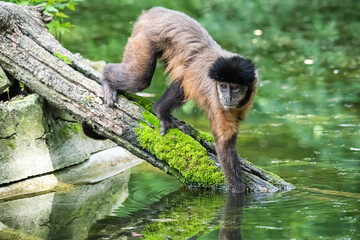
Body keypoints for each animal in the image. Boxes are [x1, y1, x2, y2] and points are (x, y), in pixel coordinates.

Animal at [102, 7, 258, 194]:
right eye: (223, 86)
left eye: (234, 88)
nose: (227, 97)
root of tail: (155, 12)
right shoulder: (216, 99)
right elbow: (224, 144)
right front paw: (239, 191)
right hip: (144, 38)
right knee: (139, 79)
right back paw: (107, 79)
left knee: (184, 77)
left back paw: (160, 110)